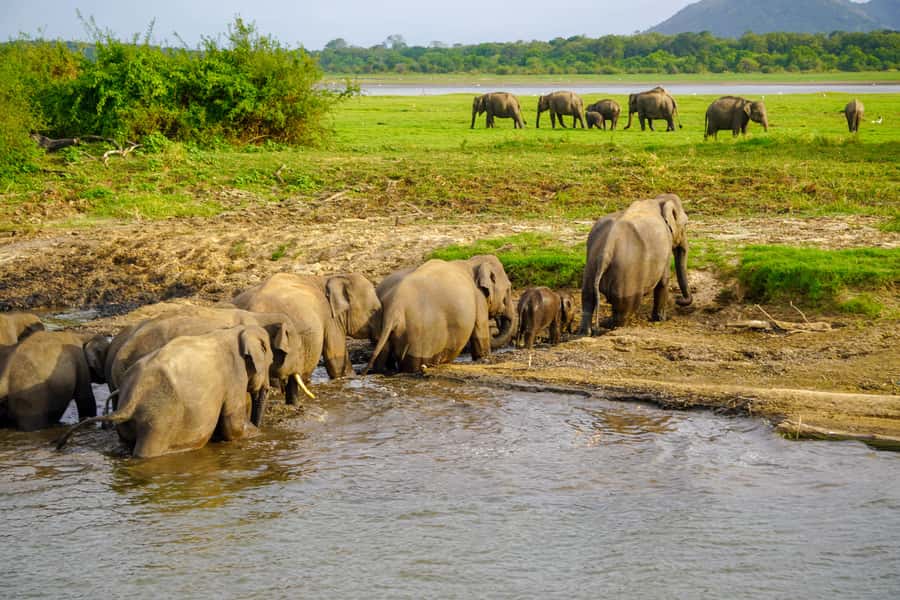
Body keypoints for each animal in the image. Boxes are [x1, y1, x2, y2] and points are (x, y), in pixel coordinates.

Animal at [56, 325, 272, 458]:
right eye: (270, 362)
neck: (235, 331)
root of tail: (132, 399)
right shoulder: (234, 375)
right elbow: (232, 426)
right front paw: (258, 434)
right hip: (159, 421)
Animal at [232, 273, 381, 392]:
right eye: (374, 311)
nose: (364, 374)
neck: (327, 278)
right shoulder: (329, 318)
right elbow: (335, 358)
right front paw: (351, 377)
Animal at [364, 255, 517, 374]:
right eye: (508, 288)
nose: (495, 326)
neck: (472, 262)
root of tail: (395, 307)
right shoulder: (479, 299)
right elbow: (480, 332)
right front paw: (484, 358)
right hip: (419, 333)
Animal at [579, 193, 693, 333]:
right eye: (686, 224)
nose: (678, 299)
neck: (658, 200)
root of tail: (607, 249)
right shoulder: (666, 246)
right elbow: (663, 281)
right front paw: (660, 319)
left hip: (591, 264)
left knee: (587, 297)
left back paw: (586, 331)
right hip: (626, 276)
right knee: (624, 308)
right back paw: (611, 325)